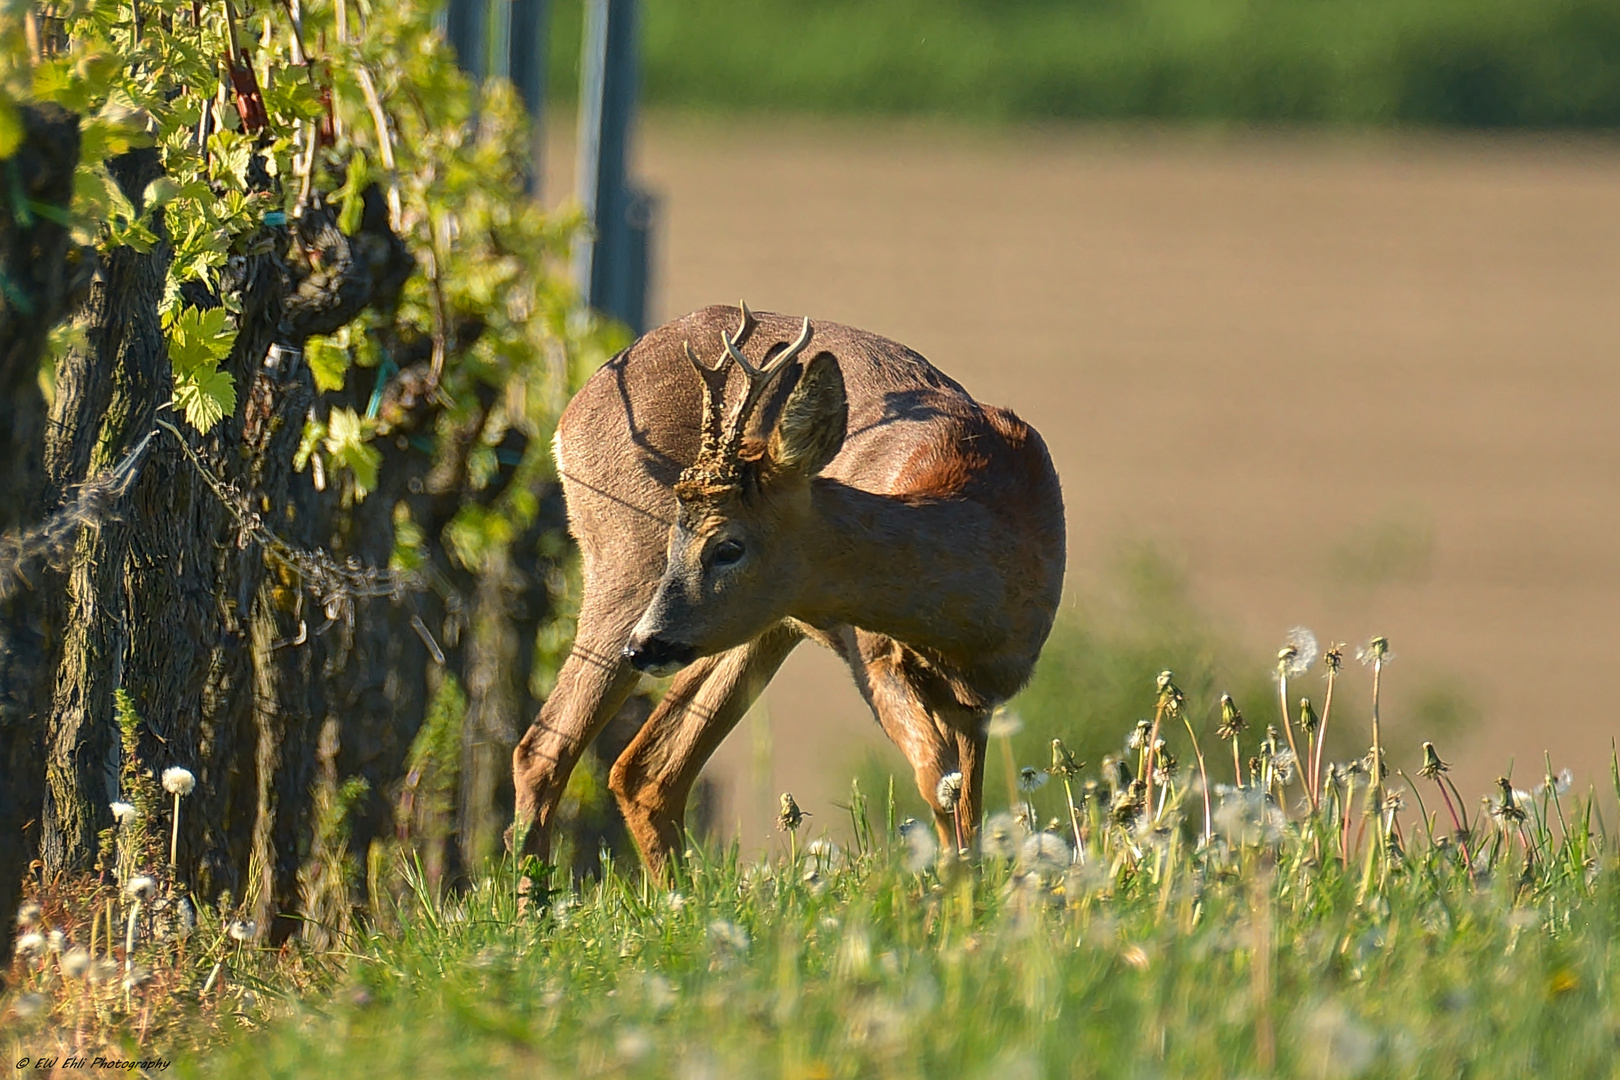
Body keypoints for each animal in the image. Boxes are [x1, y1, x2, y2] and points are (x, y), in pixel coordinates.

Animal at [515, 302, 1062, 867]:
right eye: (678, 542)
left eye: (727, 548)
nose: (645, 645)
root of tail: (573, 411)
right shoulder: (871, 655)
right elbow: (937, 779)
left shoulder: (979, 700)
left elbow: (966, 806)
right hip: (625, 561)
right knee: (543, 748)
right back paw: (535, 886)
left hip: (752, 627)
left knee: (646, 768)